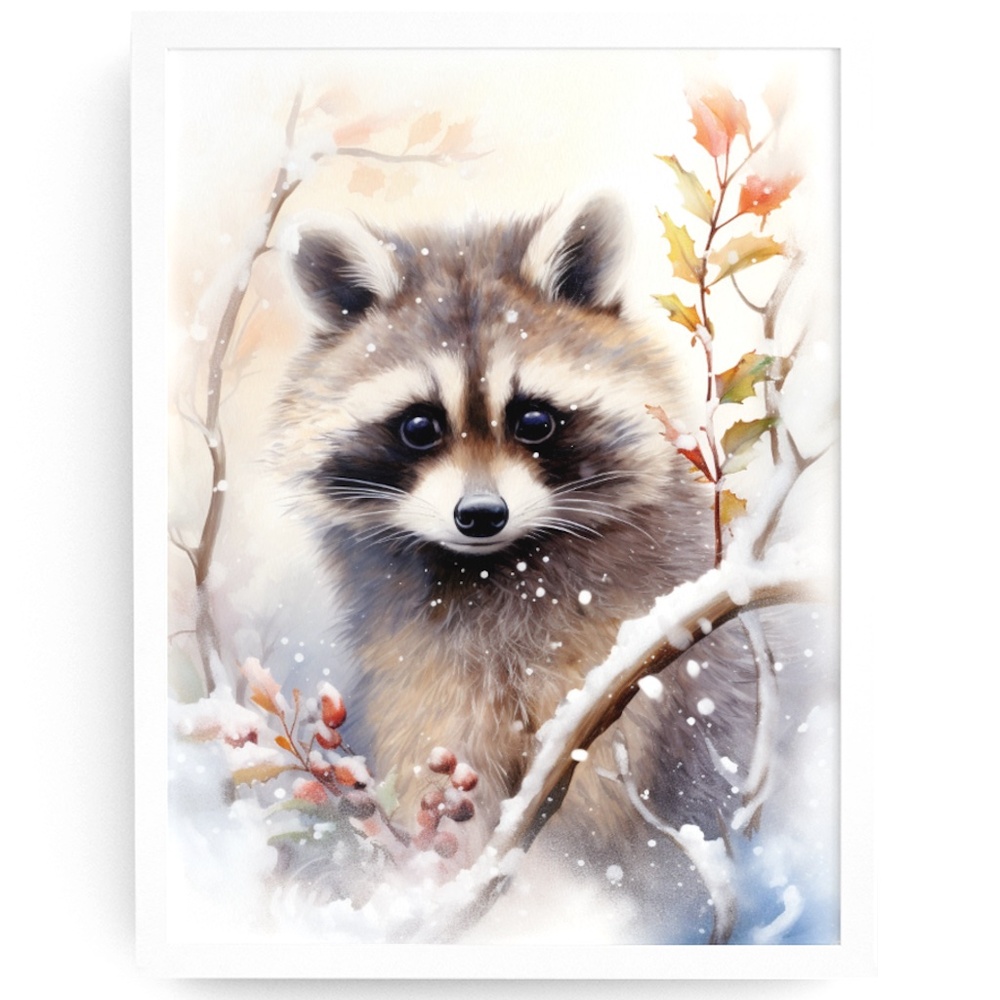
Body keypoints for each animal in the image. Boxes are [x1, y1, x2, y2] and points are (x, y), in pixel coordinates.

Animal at [272, 197, 756, 879]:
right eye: (419, 426)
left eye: (533, 420)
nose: (480, 515)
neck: (497, 567)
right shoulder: (420, 669)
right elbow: (433, 773)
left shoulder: (631, 666)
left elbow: (605, 797)